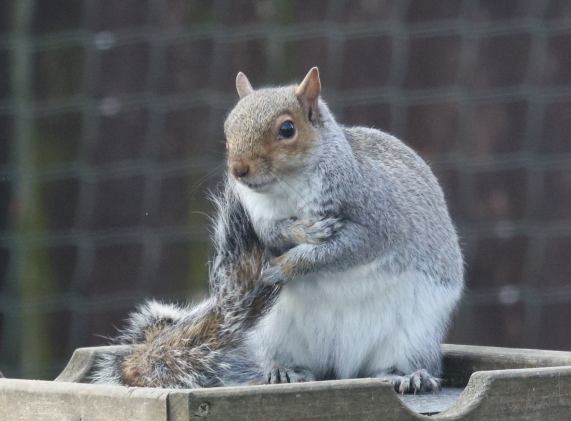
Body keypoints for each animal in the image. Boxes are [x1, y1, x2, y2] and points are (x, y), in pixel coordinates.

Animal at [91, 67, 462, 392]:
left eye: (287, 129)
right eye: (228, 129)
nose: (238, 170)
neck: (287, 188)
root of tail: (343, 368)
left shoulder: (375, 222)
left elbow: (344, 251)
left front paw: (283, 267)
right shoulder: (261, 220)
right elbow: (275, 235)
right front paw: (300, 235)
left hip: (414, 334)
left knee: (397, 363)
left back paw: (408, 375)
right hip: (272, 335)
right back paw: (281, 371)